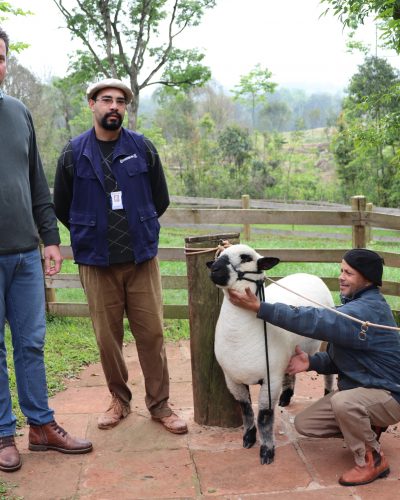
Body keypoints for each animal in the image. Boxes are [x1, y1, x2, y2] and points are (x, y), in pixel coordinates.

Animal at [206, 243, 334, 464]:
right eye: (218, 256)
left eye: (246, 257)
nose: (214, 269)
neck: (239, 334)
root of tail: (310, 274)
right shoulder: (232, 378)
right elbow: (246, 409)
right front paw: (248, 438)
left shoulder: (270, 378)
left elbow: (264, 415)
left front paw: (266, 450)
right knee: (290, 373)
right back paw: (286, 398)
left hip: (327, 341)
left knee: (329, 373)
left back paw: (326, 395)